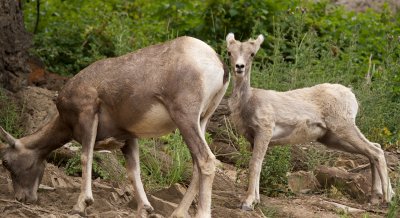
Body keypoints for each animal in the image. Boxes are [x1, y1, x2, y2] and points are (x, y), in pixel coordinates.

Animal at [0, 36, 230, 218]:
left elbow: (86, 156)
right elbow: (134, 171)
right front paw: (145, 209)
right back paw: (178, 213)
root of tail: (219, 65)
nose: (23, 198)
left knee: (206, 160)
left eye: (6, 162)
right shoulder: (128, 137)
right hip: (202, 120)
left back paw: (201, 213)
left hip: (185, 117)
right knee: (197, 164)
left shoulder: (87, 115)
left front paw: (81, 205)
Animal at [225, 33, 394, 210]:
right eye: (229, 52)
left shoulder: (264, 131)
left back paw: (387, 199)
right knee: (374, 148)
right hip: (332, 138)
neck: (248, 102)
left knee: (376, 151)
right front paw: (255, 200)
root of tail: (351, 95)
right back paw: (374, 198)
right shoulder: (253, 138)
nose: (239, 66)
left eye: (252, 54)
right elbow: (257, 164)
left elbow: (254, 165)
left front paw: (248, 203)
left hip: (344, 128)